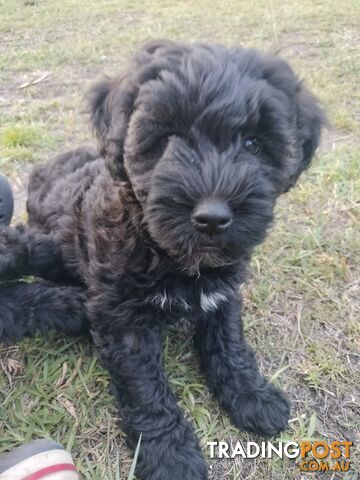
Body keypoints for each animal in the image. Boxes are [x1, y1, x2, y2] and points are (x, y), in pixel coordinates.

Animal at [0, 42, 324, 480]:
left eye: (253, 144)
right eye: (169, 138)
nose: (212, 217)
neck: (170, 254)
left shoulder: (224, 293)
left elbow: (229, 343)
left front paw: (252, 395)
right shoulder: (123, 319)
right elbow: (145, 386)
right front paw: (170, 454)